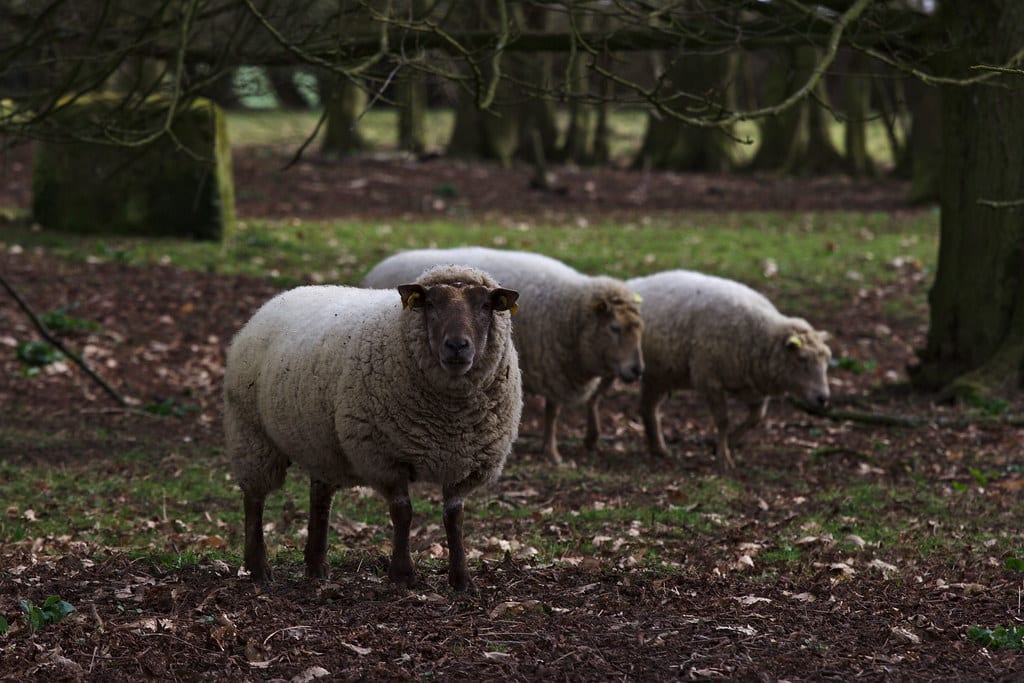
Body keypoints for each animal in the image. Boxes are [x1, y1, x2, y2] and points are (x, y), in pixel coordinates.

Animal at [223, 265, 522, 592]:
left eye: (485, 306)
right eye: (430, 304)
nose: (457, 346)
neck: (449, 418)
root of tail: (281, 297)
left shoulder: (464, 464)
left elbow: (454, 518)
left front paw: (461, 579)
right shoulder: (385, 457)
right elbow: (403, 512)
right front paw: (402, 574)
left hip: (321, 445)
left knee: (320, 498)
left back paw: (316, 566)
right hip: (251, 433)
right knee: (254, 500)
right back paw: (258, 568)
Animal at [363, 246, 644, 465]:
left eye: (639, 328)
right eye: (614, 328)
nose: (637, 370)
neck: (571, 312)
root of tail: (378, 267)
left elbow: (567, 407)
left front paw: (566, 447)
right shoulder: (550, 366)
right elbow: (552, 413)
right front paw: (551, 453)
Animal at [585, 269, 831, 470]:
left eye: (827, 360)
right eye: (802, 359)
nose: (823, 398)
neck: (760, 334)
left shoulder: (750, 387)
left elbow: (757, 417)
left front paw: (726, 444)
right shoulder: (708, 377)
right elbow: (723, 420)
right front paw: (723, 457)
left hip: (658, 373)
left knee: (647, 408)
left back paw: (659, 449)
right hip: (612, 365)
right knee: (594, 397)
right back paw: (591, 439)